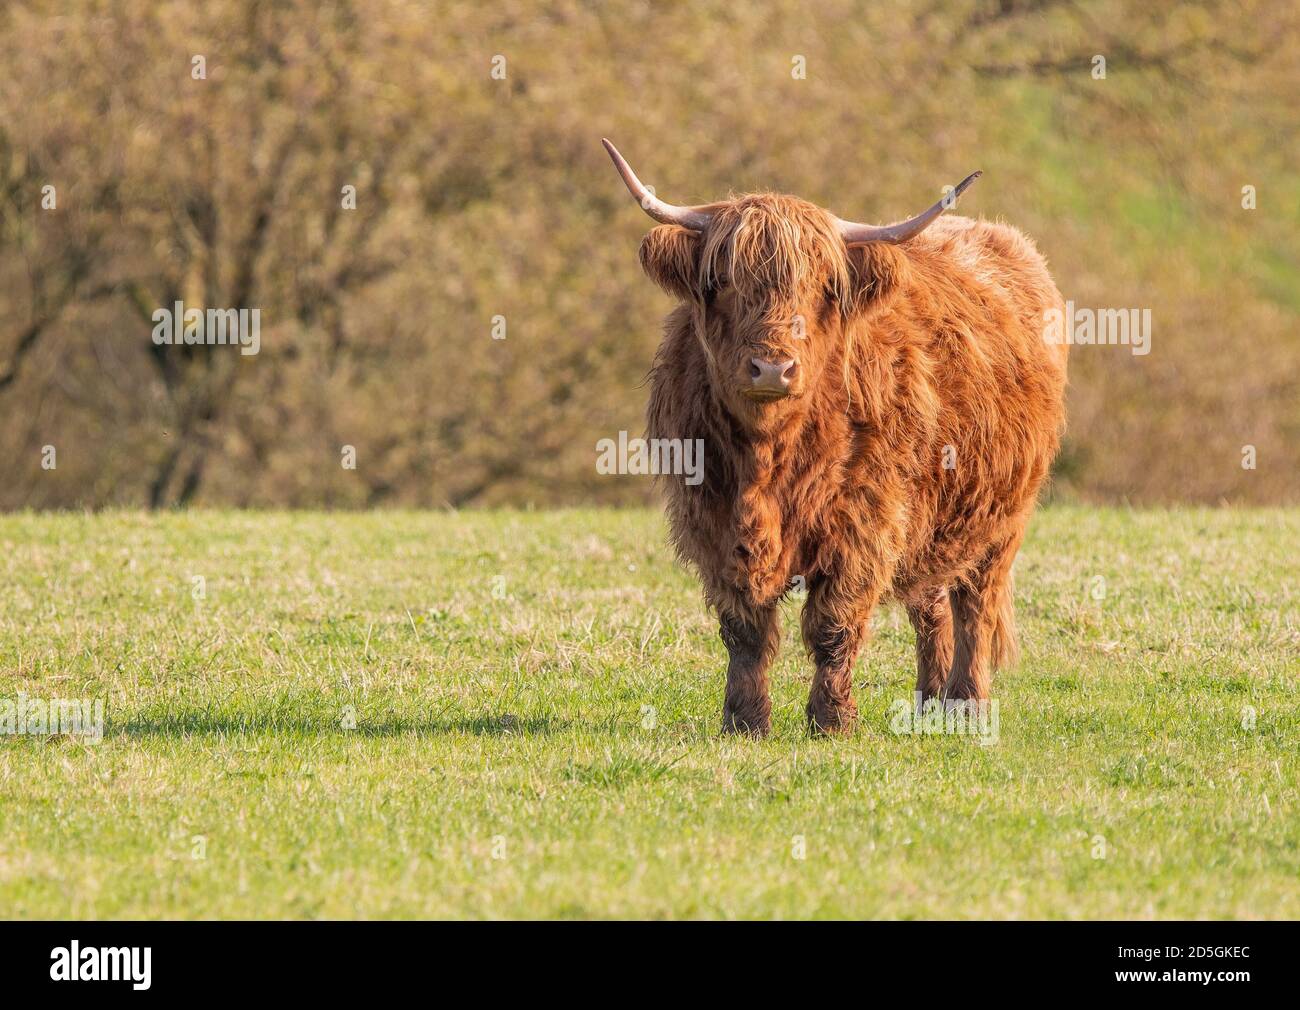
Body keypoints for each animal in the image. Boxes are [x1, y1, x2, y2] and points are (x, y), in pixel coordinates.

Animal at [603, 139, 1068, 737]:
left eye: (823, 289)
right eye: (724, 283)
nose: (772, 368)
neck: (768, 460)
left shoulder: (865, 521)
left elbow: (834, 625)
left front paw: (832, 721)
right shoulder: (711, 518)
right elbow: (744, 632)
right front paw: (744, 721)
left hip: (1002, 516)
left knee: (975, 605)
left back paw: (967, 705)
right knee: (931, 604)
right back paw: (930, 703)